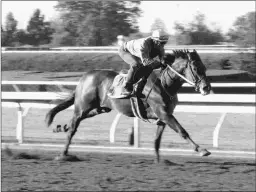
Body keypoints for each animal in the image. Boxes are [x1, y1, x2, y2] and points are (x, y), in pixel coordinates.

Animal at [45, 49, 212, 162]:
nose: (206, 88)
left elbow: (157, 141)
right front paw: (202, 150)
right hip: (83, 106)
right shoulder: (163, 113)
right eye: (196, 68)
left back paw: (60, 127)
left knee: (73, 122)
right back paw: (63, 154)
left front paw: (159, 161)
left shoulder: (163, 117)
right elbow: (182, 130)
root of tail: (85, 77)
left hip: (101, 108)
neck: (164, 84)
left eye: (205, 67)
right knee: (73, 127)